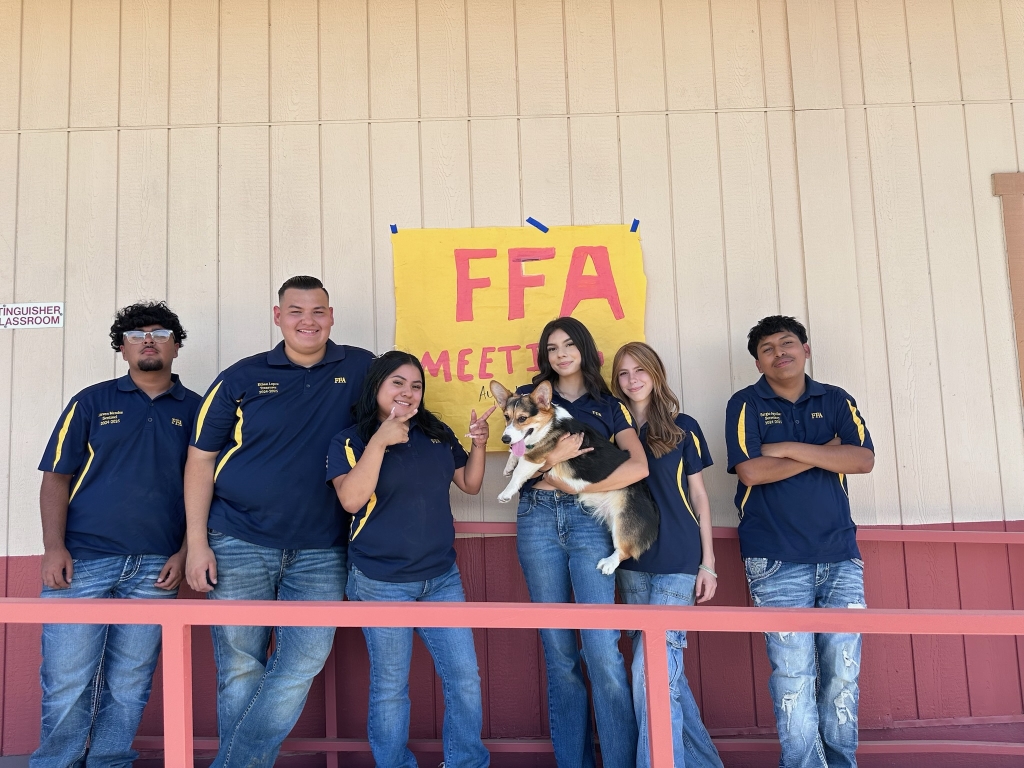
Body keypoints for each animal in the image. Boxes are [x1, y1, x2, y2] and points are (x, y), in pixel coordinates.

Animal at [491, 382, 659, 573]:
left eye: (522, 418)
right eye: (506, 417)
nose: (505, 439)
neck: (549, 425)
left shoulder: (536, 458)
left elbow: (519, 471)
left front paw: (506, 492)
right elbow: (515, 452)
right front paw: (509, 465)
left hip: (623, 519)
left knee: (624, 551)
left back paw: (608, 563)